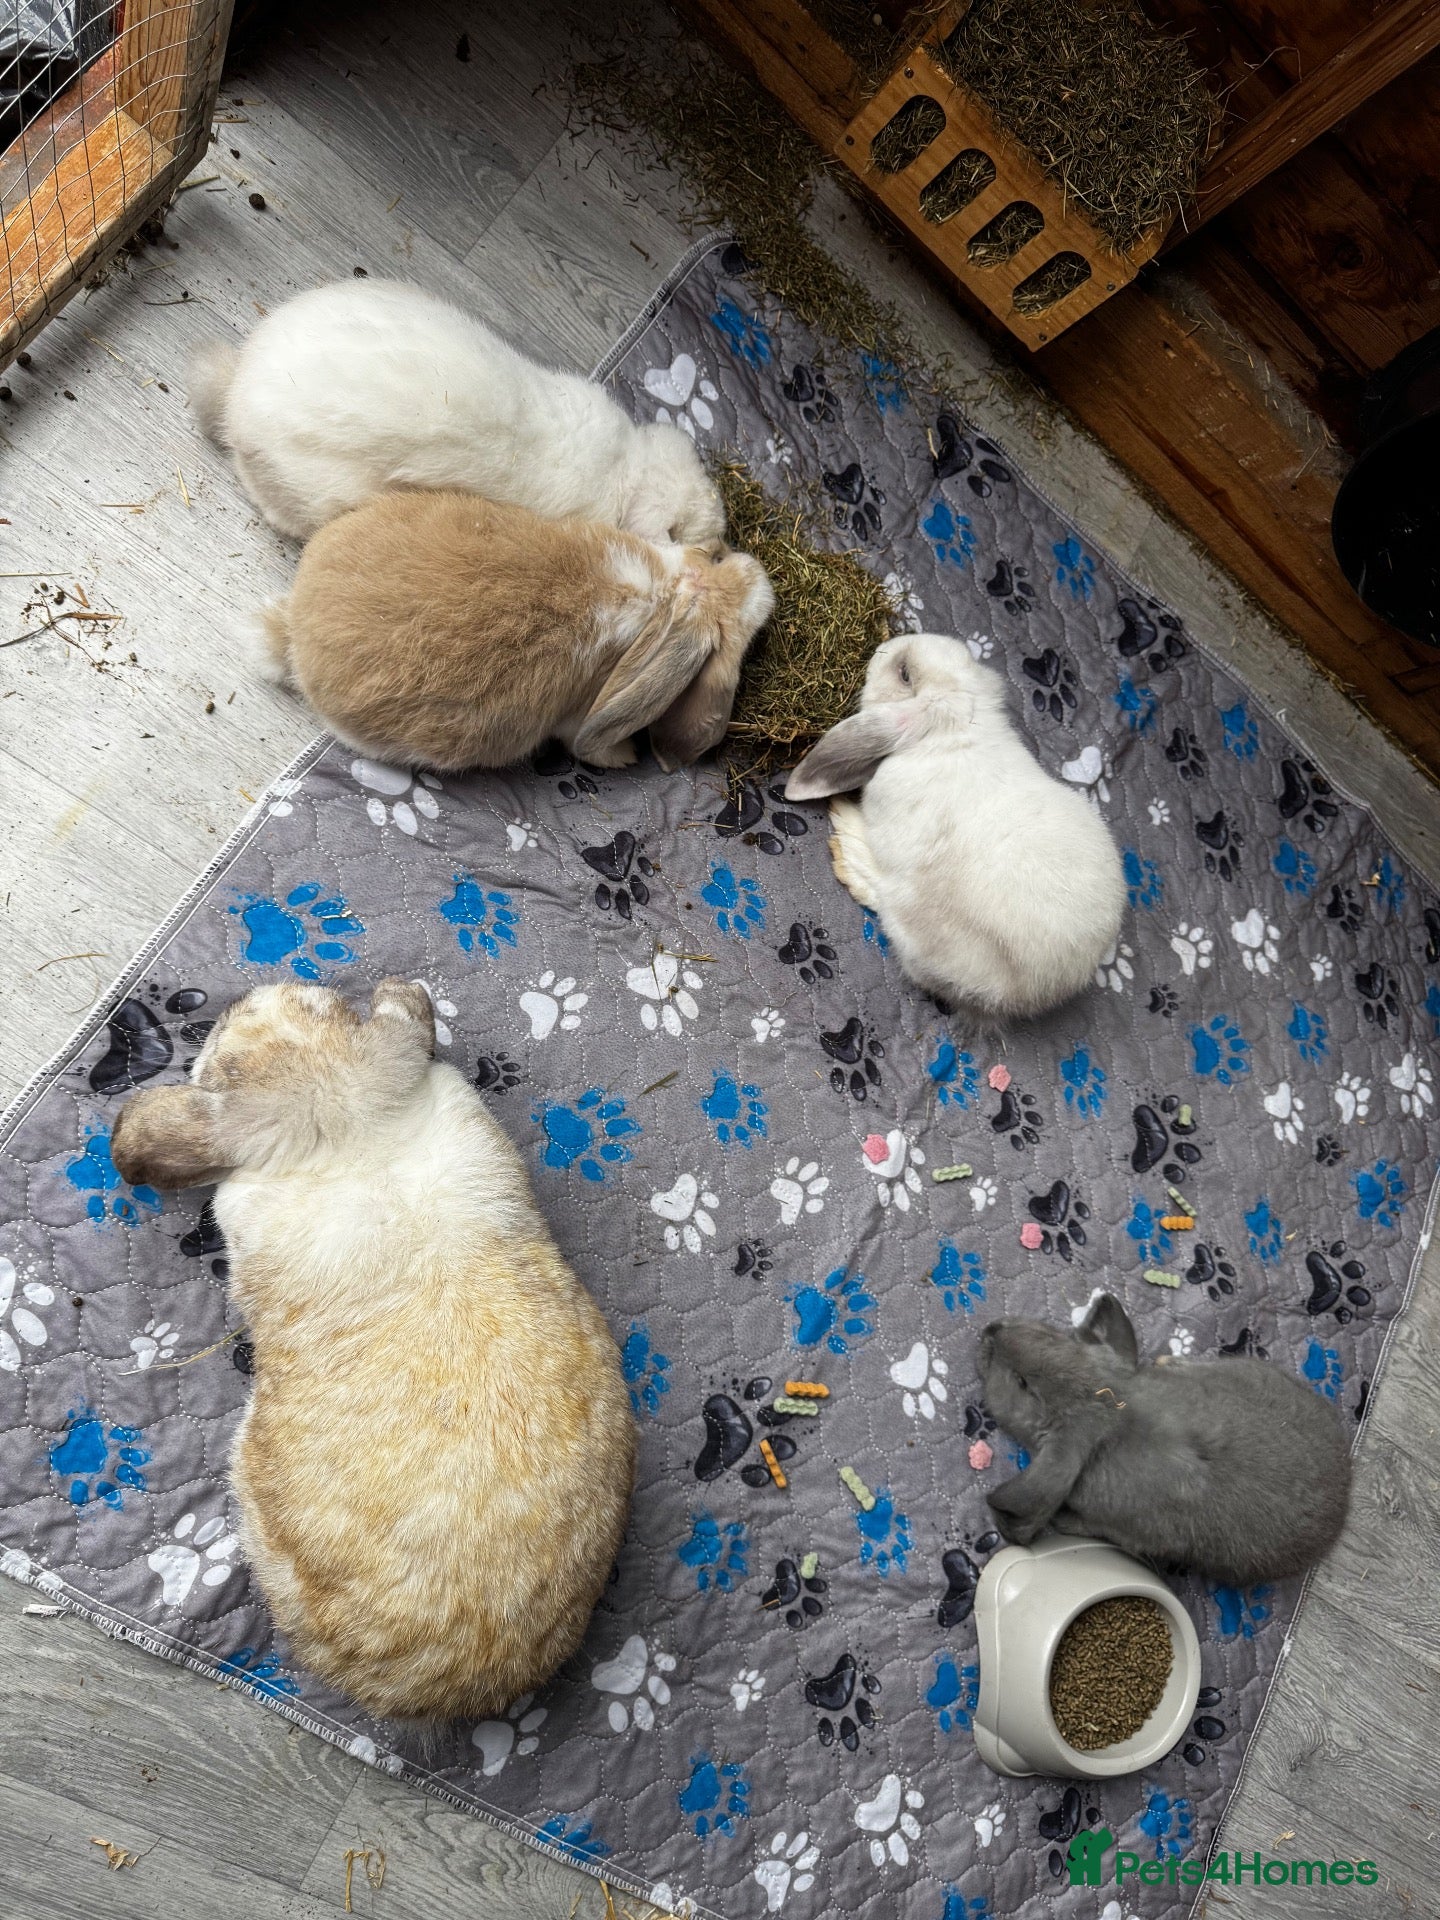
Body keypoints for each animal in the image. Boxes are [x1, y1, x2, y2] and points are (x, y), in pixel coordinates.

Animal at [258, 488, 774, 772]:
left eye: (714, 556)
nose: (761, 574)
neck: (664, 594)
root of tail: (295, 626)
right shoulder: (579, 721)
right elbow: (586, 743)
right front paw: (625, 755)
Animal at [783, 633, 1125, 1020]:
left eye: (904, 673)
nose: (886, 645)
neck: (952, 732)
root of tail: (1038, 991)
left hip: (912, 907)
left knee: (884, 900)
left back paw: (846, 836)